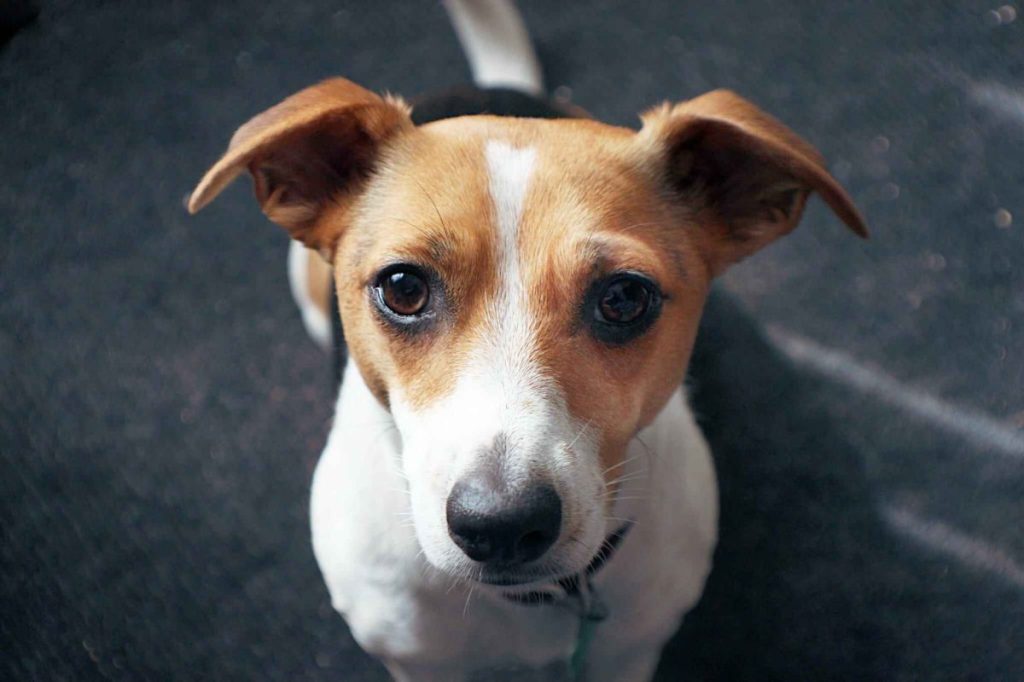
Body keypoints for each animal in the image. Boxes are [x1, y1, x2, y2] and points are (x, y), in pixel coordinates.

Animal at [186, 2, 864, 675]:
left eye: (624, 297)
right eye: (402, 288)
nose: (502, 525)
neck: (537, 603)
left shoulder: (631, 652)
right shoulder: (415, 660)